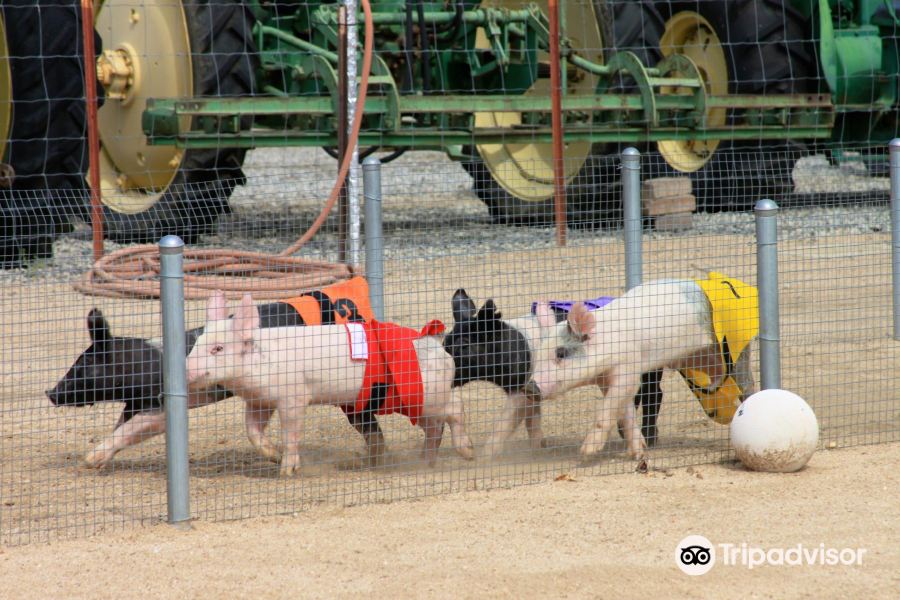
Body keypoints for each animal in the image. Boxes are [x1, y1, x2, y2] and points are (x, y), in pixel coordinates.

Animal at [186, 292, 474, 478]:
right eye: (197, 342)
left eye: (218, 348)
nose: (187, 369)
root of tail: (434, 342)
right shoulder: (259, 401)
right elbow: (252, 431)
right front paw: (273, 455)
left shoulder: (293, 396)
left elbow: (291, 431)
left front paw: (287, 471)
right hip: (410, 403)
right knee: (434, 426)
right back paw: (426, 462)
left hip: (426, 394)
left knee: (455, 407)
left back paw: (468, 453)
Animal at [528, 280, 732, 460]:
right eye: (538, 353)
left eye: (561, 353)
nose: (530, 387)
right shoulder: (606, 380)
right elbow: (626, 415)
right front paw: (638, 454)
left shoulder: (627, 370)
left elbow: (608, 407)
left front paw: (586, 452)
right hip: (694, 358)